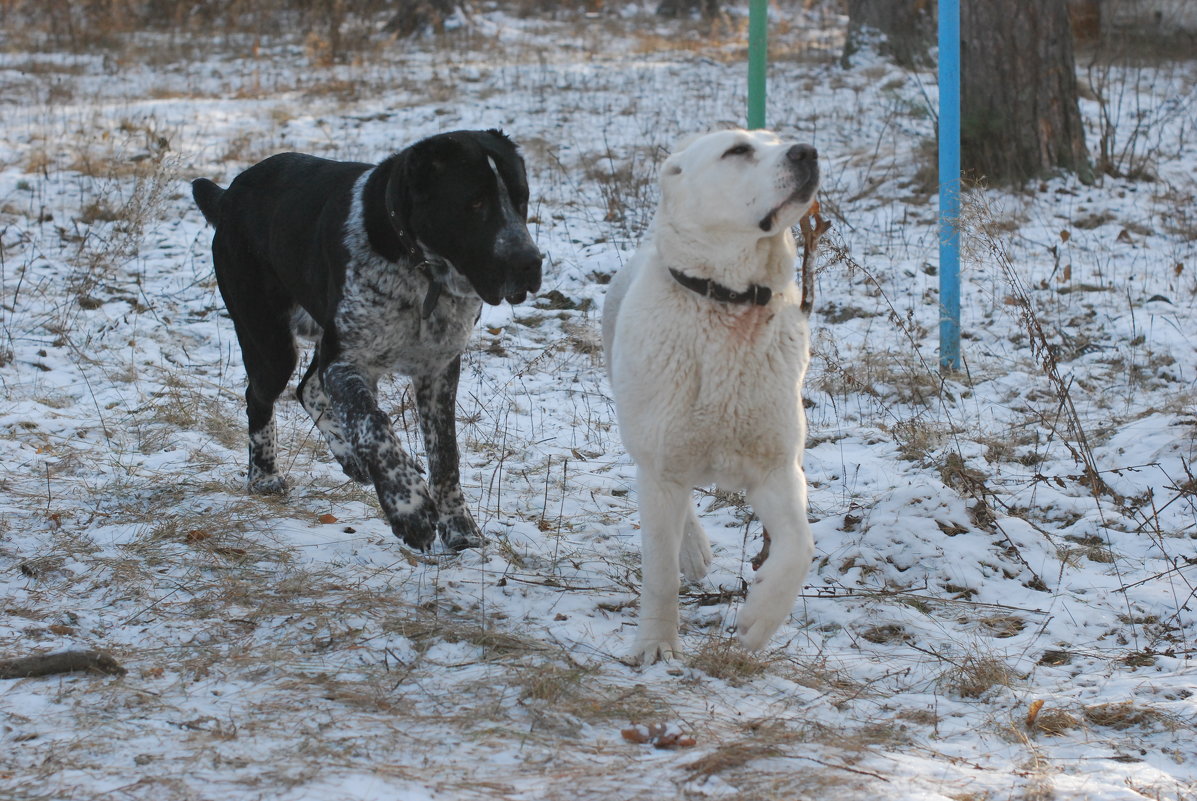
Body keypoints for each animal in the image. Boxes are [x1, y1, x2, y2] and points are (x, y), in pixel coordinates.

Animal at [192, 129, 543, 550]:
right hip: (269, 341)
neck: (421, 270)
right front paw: (409, 508)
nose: (530, 263)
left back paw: (351, 459)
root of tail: (228, 195)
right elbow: (374, 426)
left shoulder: (438, 369)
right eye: (474, 203)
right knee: (260, 397)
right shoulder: (349, 361)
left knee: (308, 388)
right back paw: (265, 476)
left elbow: (445, 455)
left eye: (521, 199)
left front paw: (460, 528)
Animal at [603, 126, 818, 660]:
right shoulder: (662, 466)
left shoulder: (777, 469)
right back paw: (694, 551)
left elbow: (800, 549)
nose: (807, 152)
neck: (729, 301)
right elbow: (660, 573)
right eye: (738, 151)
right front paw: (656, 644)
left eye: (777, 140)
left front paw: (758, 621)